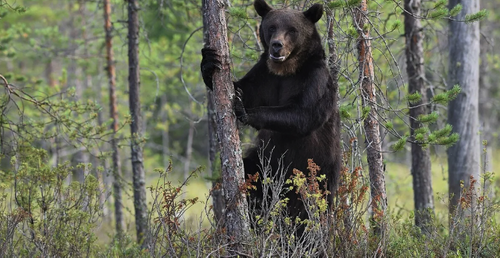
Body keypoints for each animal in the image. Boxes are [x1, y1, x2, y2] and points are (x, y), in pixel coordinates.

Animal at [201, 0, 342, 230]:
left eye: (292, 30)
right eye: (272, 27)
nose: (277, 45)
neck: (286, 69)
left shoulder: (315, 80)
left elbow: (303, 114)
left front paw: (244, 110)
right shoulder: (264, 76)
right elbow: (242, 88)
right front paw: (210, 60)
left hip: (317, 172)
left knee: (309, 210)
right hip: (264, 163)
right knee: (250, 174)